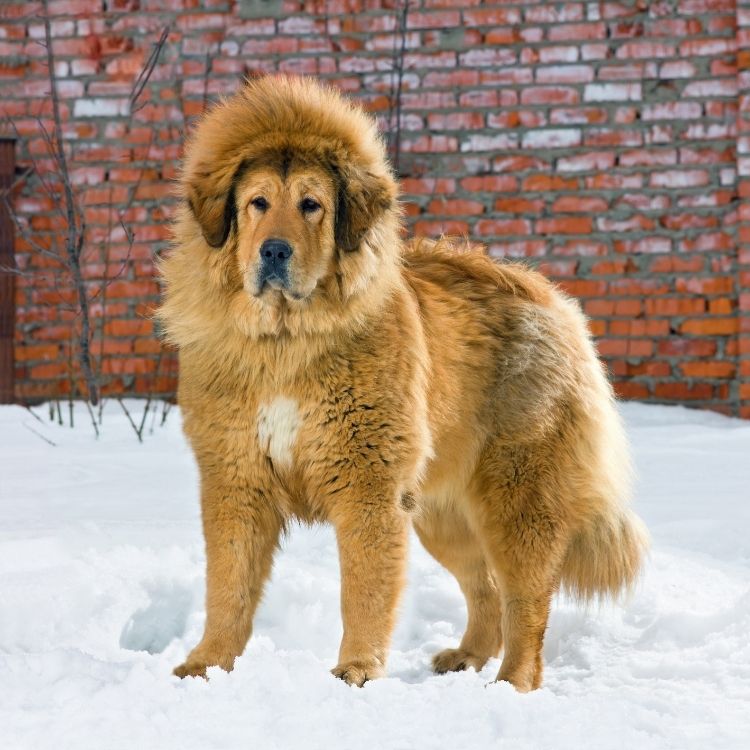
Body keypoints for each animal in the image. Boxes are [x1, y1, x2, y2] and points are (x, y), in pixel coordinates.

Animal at [160, 76, 652, 692]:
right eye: (257, 204)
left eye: (311, 205)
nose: (274, 250)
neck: (286, 342)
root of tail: (550, 298)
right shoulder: (236, 479)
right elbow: (228, 586)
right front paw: (207, 665)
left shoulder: (368, 485)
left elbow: (364, 590)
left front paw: (356, 670)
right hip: (441, 515)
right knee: (485, 590)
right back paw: (466, 657)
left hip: (518, 499)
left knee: (527, 601)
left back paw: (511, 684)